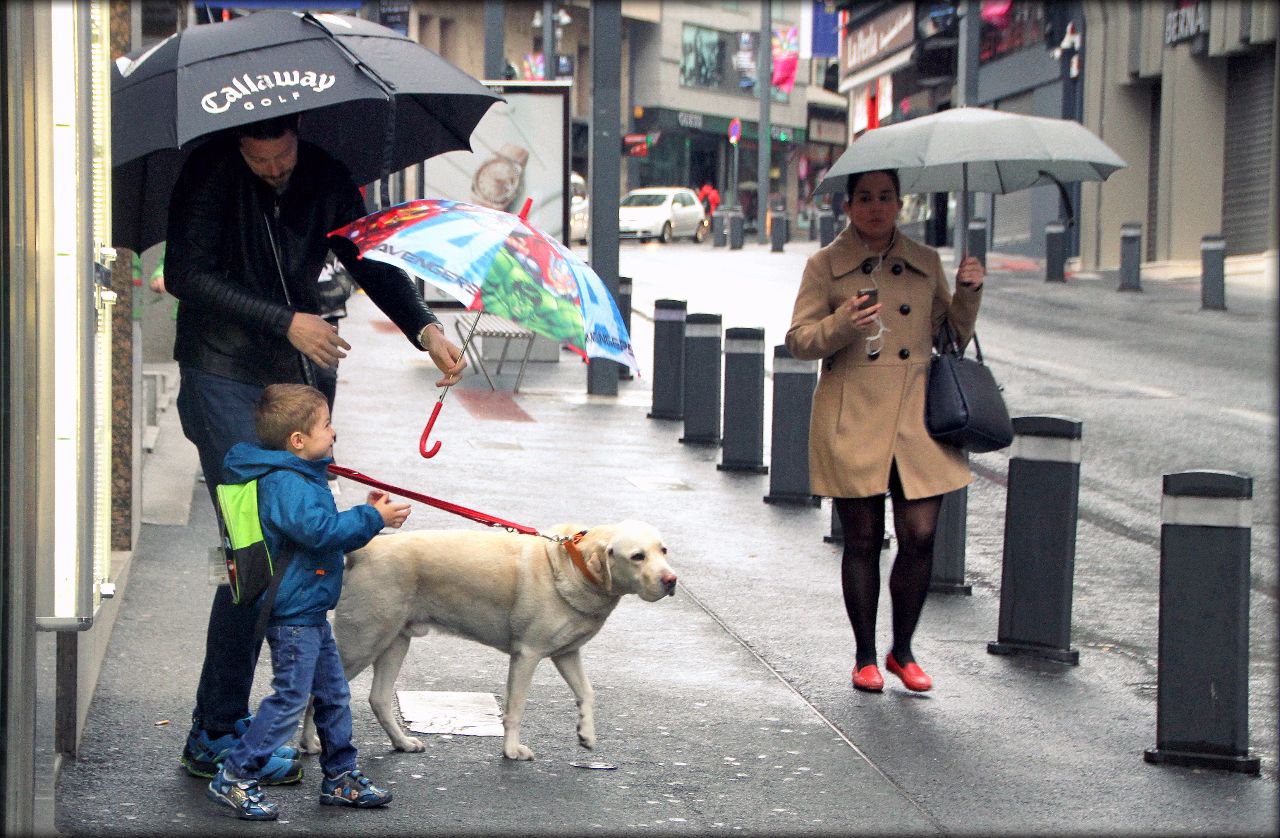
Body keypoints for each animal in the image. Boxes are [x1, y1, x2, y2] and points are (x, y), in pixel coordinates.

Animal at [302, 516, 680, 762]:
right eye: (638, 556)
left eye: (663, 551)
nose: (672, 580)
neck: (575, 564)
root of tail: (365, 549)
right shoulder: (527, 654)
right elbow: (515, 706)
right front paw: (511, 751)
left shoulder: (567, 653)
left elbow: (587, 693)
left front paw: (586, 733)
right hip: (363, 643)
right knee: (316, 693)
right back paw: (308, 744)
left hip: (394, 641)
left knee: (379, 699)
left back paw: (402, 743)